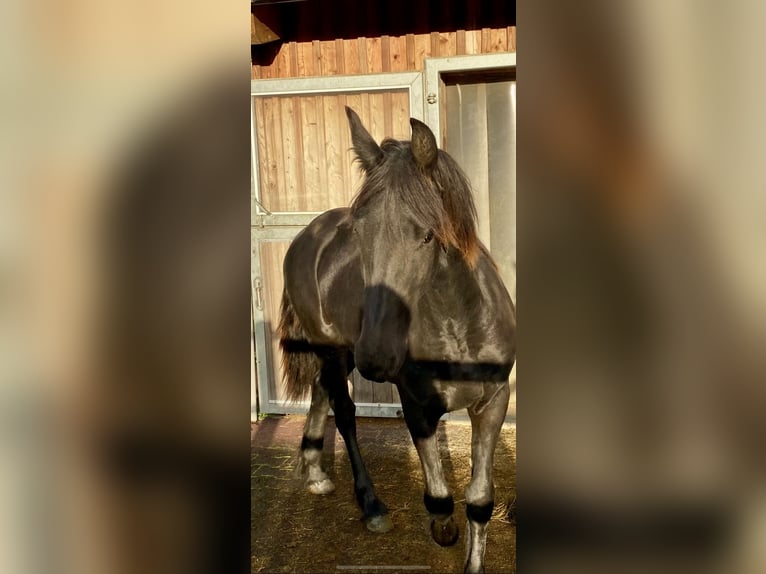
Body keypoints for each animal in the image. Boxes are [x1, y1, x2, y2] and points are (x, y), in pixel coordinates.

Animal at [278, 107, 516, 574]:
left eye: (427, 234)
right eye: (359, 233)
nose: (378, 355)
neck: (459, 327)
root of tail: (306, 235)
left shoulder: (494, 402)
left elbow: (480, 501)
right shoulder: (415, 403)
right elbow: (440, 498)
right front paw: (442, 528)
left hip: (340, 353)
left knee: (320, 392)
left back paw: (315, 472)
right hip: (333, 350)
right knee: (344, 412)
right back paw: (370, 504)